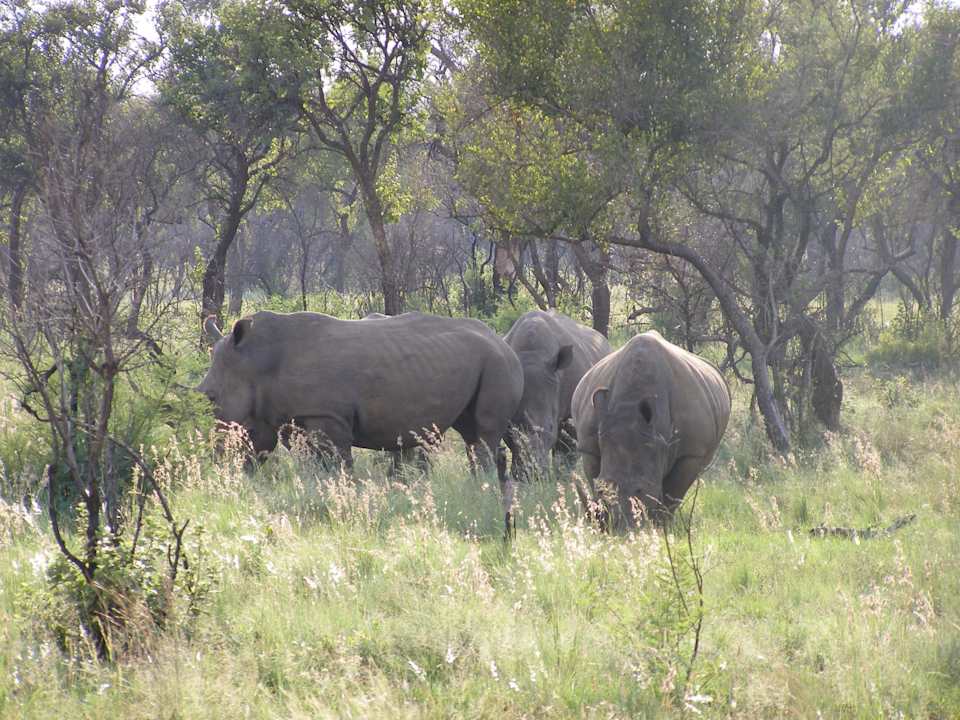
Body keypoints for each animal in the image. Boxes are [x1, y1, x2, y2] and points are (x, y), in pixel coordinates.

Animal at [198, 312, 523, 493]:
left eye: (210, 397)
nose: (217, 465)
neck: (255, 360)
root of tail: (504, 340)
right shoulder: (281, 416)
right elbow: (301, 460)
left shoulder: (327, 416)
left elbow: (337, 464)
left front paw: (341, 492)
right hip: (479, 360)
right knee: (470, 431)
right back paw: (480, 485)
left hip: (497, 362)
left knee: (483, 431)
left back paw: (481, 488)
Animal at [504, 310, 611, 470]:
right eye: (515, 426)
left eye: (550, 426)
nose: (536, 469)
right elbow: (514, 444)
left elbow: (566, 445)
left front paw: (561, 470)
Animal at [571, 330, 730, 528]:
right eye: (602, 489)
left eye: (641, 490)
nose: (621, 530)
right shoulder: (588, 445)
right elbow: (593, 477)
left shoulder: (692, 453)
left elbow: (672, 493)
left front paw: (661, 525)